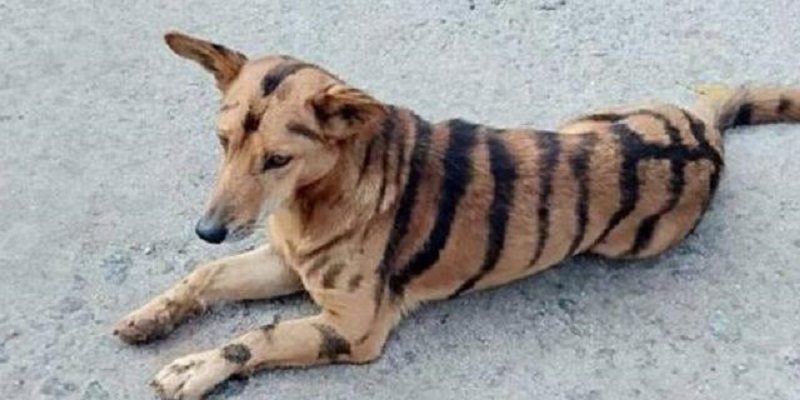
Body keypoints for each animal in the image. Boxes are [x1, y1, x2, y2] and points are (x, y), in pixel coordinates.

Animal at [112, 31, 800, 399]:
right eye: (222, 141)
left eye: (278, 159)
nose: (207, 231)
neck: (314, 197)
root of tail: (706, 130)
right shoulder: (284, 260)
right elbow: (204, 278)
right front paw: (153, 315)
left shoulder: (353, 326)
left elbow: (255, 336)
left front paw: (195, 366)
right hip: (578, 118)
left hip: (626, 237)